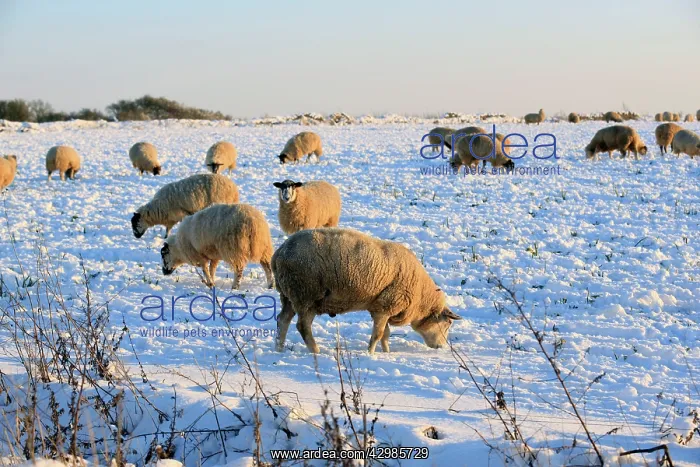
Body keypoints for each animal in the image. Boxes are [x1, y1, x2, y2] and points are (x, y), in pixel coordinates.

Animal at [272, 228, 462, 354]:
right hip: (306, 294)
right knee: (302, 326)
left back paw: (279, 348)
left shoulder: (381, 307)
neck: (420, 298)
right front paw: (370, 353)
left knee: (282, 320)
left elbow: (386, 333)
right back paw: (315, 350)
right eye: (448, 323)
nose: (442, 347)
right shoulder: (386, 306)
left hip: (289, 294)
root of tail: (279, 253)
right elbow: (379, 334)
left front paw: (386, 352)